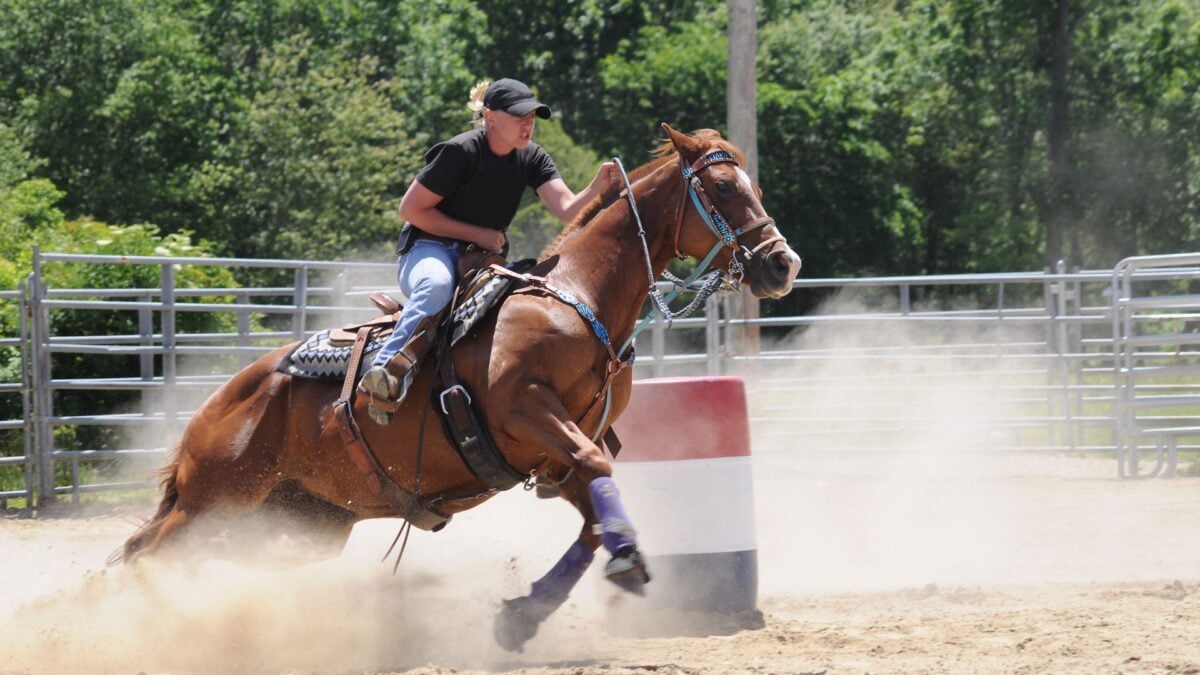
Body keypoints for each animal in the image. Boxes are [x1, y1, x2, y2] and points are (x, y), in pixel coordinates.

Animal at [114, 124, 801, 651]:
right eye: (721, 187)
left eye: (755, 187)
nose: (783, 264)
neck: (578, 298)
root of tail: (220, 402)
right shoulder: (527, 410)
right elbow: (597, 470)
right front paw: (626, 562)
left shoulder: (561, 453)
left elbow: (593, 517)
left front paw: (523, 616)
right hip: (218, 499)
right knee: (148, 557)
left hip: (293, 522)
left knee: (160, 554)